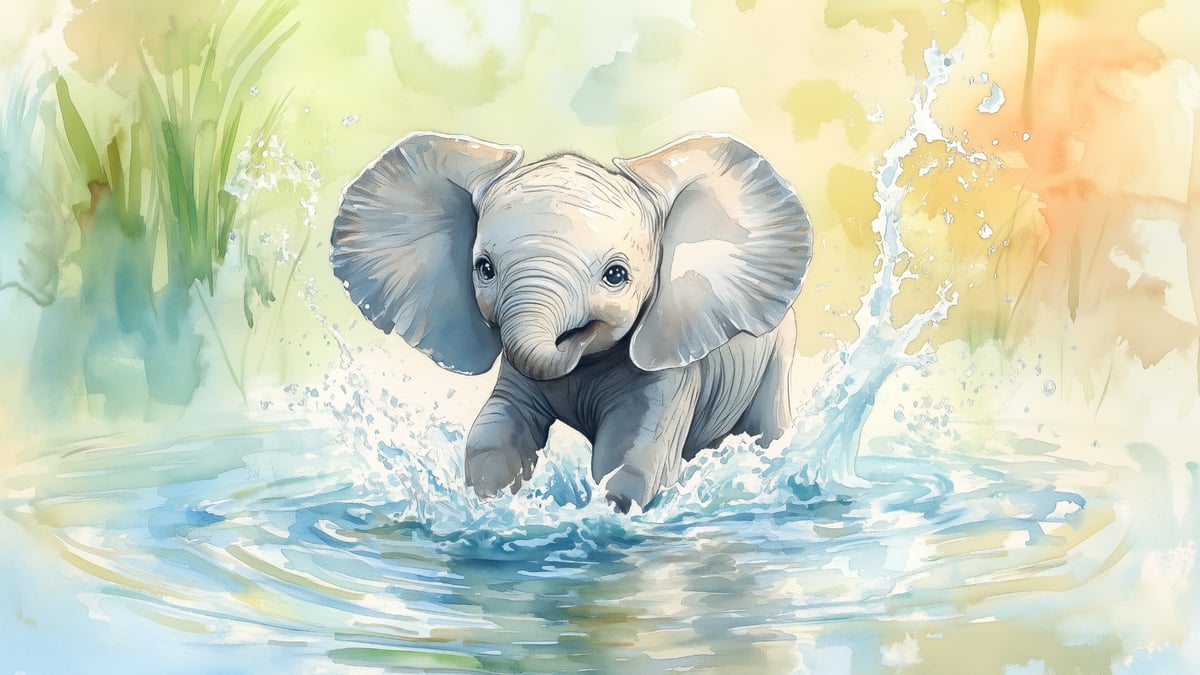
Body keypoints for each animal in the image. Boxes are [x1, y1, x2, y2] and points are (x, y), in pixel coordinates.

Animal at [330, 131, 813, 513]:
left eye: (616, 275)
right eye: (484, 269)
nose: (570, 340)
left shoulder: (671, 362)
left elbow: (632, 458)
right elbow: (494, 432)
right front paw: (495, 509)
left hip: (779, 350)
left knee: (767, 432)